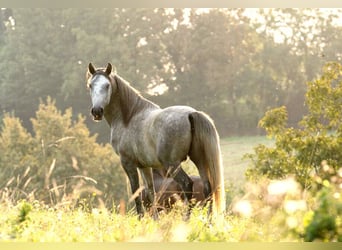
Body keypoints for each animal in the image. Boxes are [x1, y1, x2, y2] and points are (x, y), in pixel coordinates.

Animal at [85, 62, 224, 219]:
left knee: (187, 185)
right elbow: (151, 193)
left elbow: (136, 194)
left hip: (173, 165)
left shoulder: (128, 163)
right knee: (208, 188)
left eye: (107, 85)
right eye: (90, 85)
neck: (128, 118)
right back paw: (208, 222)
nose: (97, 111)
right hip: (199, 160)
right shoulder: (144, 166)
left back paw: (186, 220)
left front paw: (141, 219)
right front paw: (154, 220)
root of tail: (191, 114)